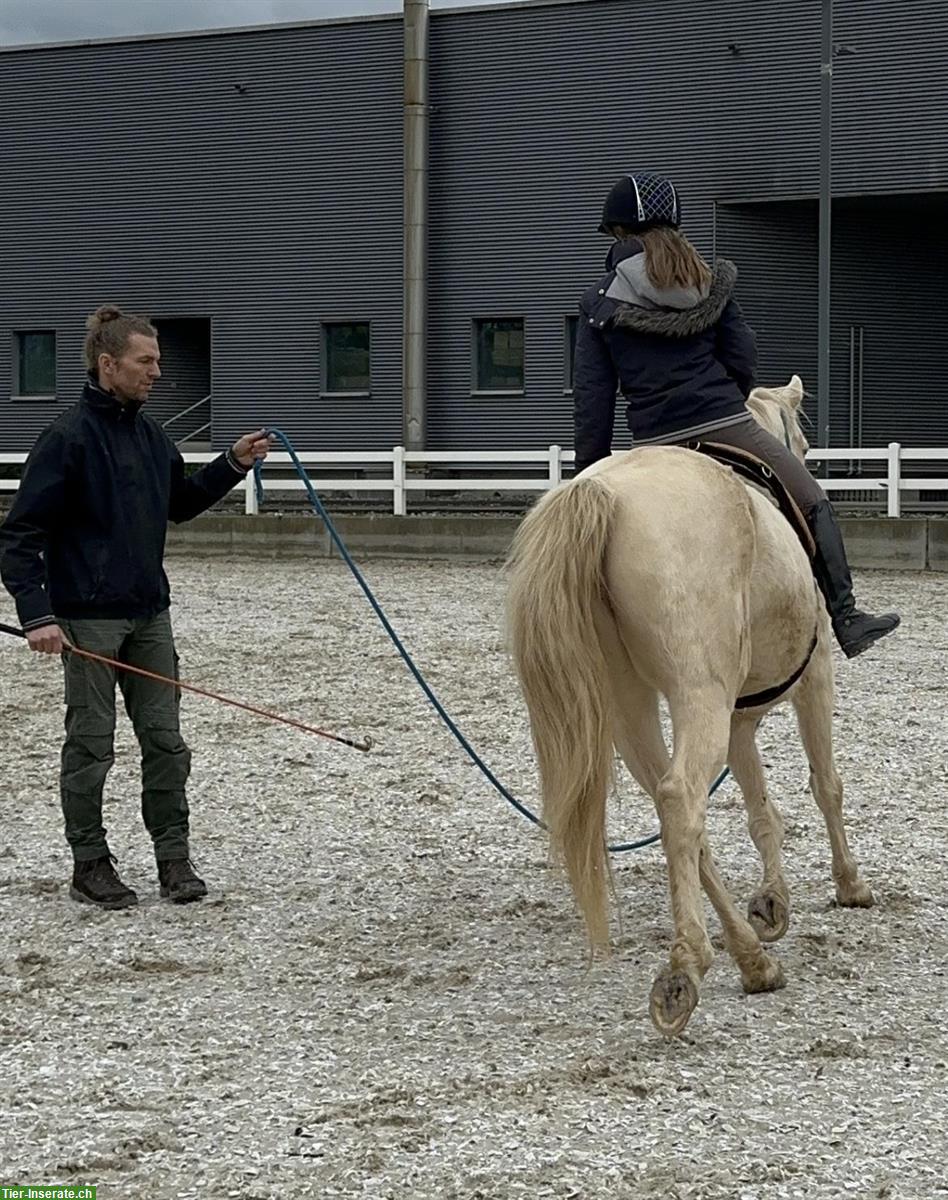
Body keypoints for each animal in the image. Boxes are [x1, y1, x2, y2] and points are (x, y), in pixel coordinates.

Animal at [508, 379, 873, 1036]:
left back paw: (751, 960)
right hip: (696, 695)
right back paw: (687, 968)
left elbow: (760, 810)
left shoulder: (738, 720)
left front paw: (772, 902)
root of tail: (603, 494)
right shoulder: (815, 680)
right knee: (681, 800)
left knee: (679, 813)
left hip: (631, 708)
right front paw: (849, 884)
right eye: (805, 446)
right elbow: (825, 784)